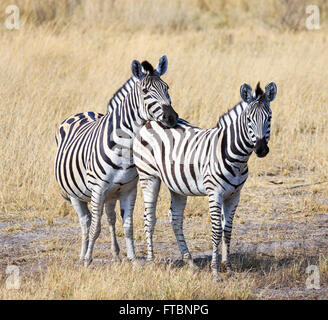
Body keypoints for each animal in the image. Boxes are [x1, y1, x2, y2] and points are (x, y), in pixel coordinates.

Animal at [54, 56, 178, 266]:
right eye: (145, 91)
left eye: (167, 87)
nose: (172, 117)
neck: (124, 148)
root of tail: (83, 112)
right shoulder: (97, 190)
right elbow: (95, 228)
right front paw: (88, 260)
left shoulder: (129, 189)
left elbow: (128, 226)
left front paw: (133, 259)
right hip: (75, 194)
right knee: (86, 222)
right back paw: (83, 254)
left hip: (111, 194)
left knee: (110, 218)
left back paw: (115, 253)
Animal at [133, 81, 276, 276]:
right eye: (248, 120)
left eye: (269, 118)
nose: (261, 149)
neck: (237, 158)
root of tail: (152, 121)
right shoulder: (214, 193)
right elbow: (216, 231)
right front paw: (215, 271)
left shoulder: (235, 195)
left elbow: (227, 230)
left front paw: (228, 267)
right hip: (148, 176)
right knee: (149, 217)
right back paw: (151, 261)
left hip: (177, 185)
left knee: (175, 219)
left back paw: (190, 261)